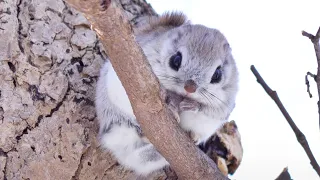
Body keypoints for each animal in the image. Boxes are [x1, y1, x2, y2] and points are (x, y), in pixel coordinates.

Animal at [94, 11, 238, 176]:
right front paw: (173, 104)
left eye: (217, 75)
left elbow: (206, 110)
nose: (190, 88)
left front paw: (192, 106)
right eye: (176, 60)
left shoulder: (221, 109)